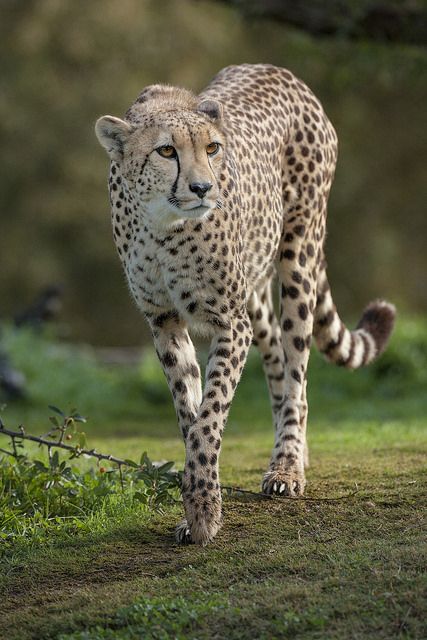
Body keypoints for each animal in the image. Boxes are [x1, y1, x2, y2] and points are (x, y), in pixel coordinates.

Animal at [95, 64, 395, 546]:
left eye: (212, 148)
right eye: (166, 151)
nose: (202, 187)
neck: (164, 226)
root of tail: (280, 71)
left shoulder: (228, 322)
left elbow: (210, 415)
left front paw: (203, 510)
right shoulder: (164, 321)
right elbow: (190, 413)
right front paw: (196, 503)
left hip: (298, 257)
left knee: (297, 373)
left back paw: (287, 467)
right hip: (255, 289)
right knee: (275, 358)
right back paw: (291, 454)